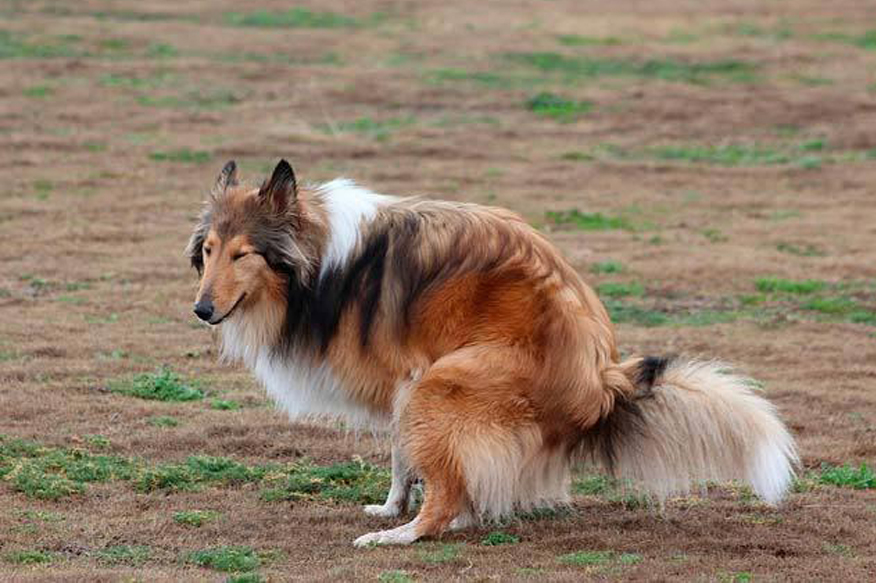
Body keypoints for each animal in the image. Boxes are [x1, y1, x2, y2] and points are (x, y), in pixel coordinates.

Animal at [188, 159, 796, 548]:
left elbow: (402, 456)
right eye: (210, 250)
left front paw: (394, 514)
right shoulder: (402, 388)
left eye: (244, 254)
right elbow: (402, 460)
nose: (201, 310)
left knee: (444, 503)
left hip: (442, 383)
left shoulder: (408, 379)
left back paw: (398, 535)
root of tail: (603, 383)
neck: (323, 258)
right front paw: (390, 503)